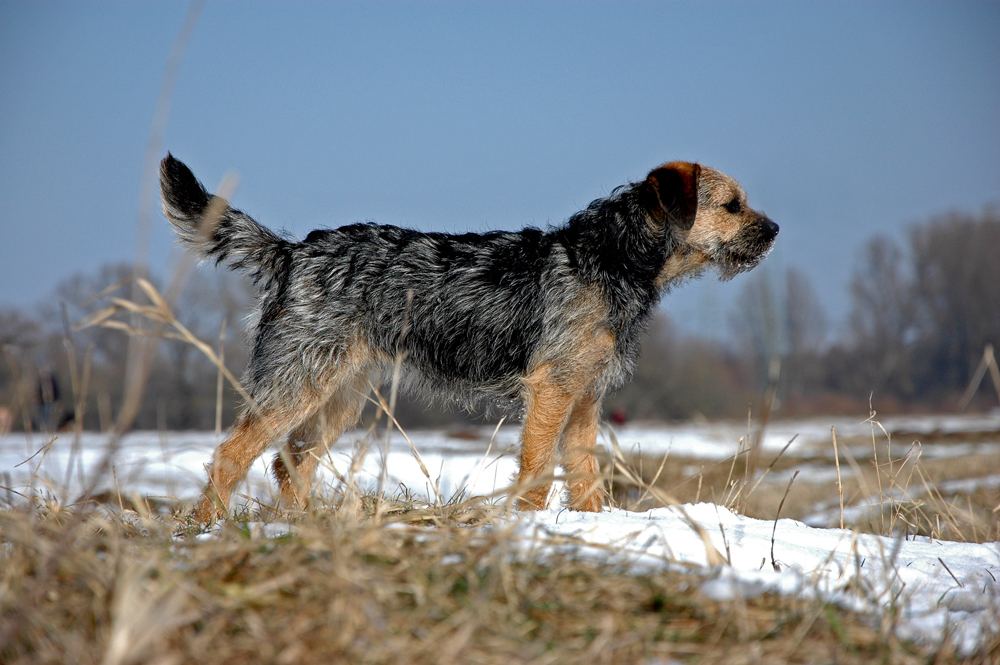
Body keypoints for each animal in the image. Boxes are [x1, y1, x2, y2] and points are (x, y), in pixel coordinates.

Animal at [160, 154, 776, 520]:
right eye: (732, 205)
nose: (773, 230)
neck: (611, 258)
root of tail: (293, 252)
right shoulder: (553, 390)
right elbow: (538, 467)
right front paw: (530, 525)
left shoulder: (586, 398)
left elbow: (584, 474)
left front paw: (590, 527)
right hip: (300, 382)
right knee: (231, 454)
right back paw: (209, 529)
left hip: (341, 393)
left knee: (290, 462)